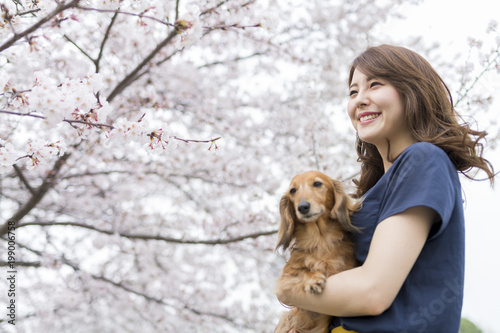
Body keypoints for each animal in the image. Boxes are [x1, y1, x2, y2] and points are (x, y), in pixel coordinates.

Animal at [274, 171, 360, 332]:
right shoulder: (284, 279)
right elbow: (302, 271)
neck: (321, 241)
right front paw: (313, 279)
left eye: (318, 183)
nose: (302, 207)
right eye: (292, 191)